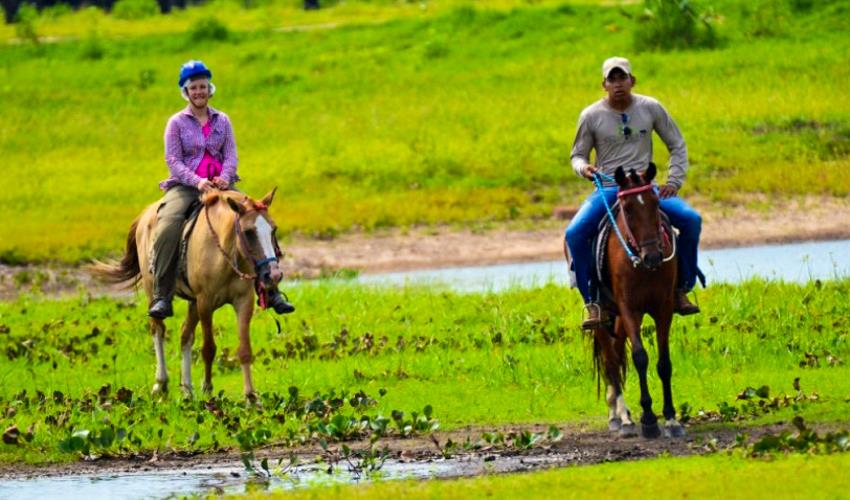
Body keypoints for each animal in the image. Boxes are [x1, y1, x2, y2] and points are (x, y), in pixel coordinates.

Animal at [91, 189, 283, 401]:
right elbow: (209, 348)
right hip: (153, 292)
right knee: (158, 330)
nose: (273, 275)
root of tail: (145, 215)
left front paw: (251, 397)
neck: (223, 252)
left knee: (185, 335)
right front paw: (208, 390)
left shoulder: (243, 302)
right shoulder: (205, 302)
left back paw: (187, 389)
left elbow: (245, 350)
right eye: (248, 232)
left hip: (193, 302)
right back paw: (161, 384)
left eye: (273, 230)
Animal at [591, 164, 685, 439]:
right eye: (628, 209)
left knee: (617, 352)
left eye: (655, 202)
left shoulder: (664, 308)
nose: (652, 256)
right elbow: (640, 358)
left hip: (620, 320)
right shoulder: (629, 309)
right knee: (611, 361)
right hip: (603, 319)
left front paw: (671, 419)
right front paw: (648, 420)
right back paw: (622, 418)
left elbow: (664, 363)